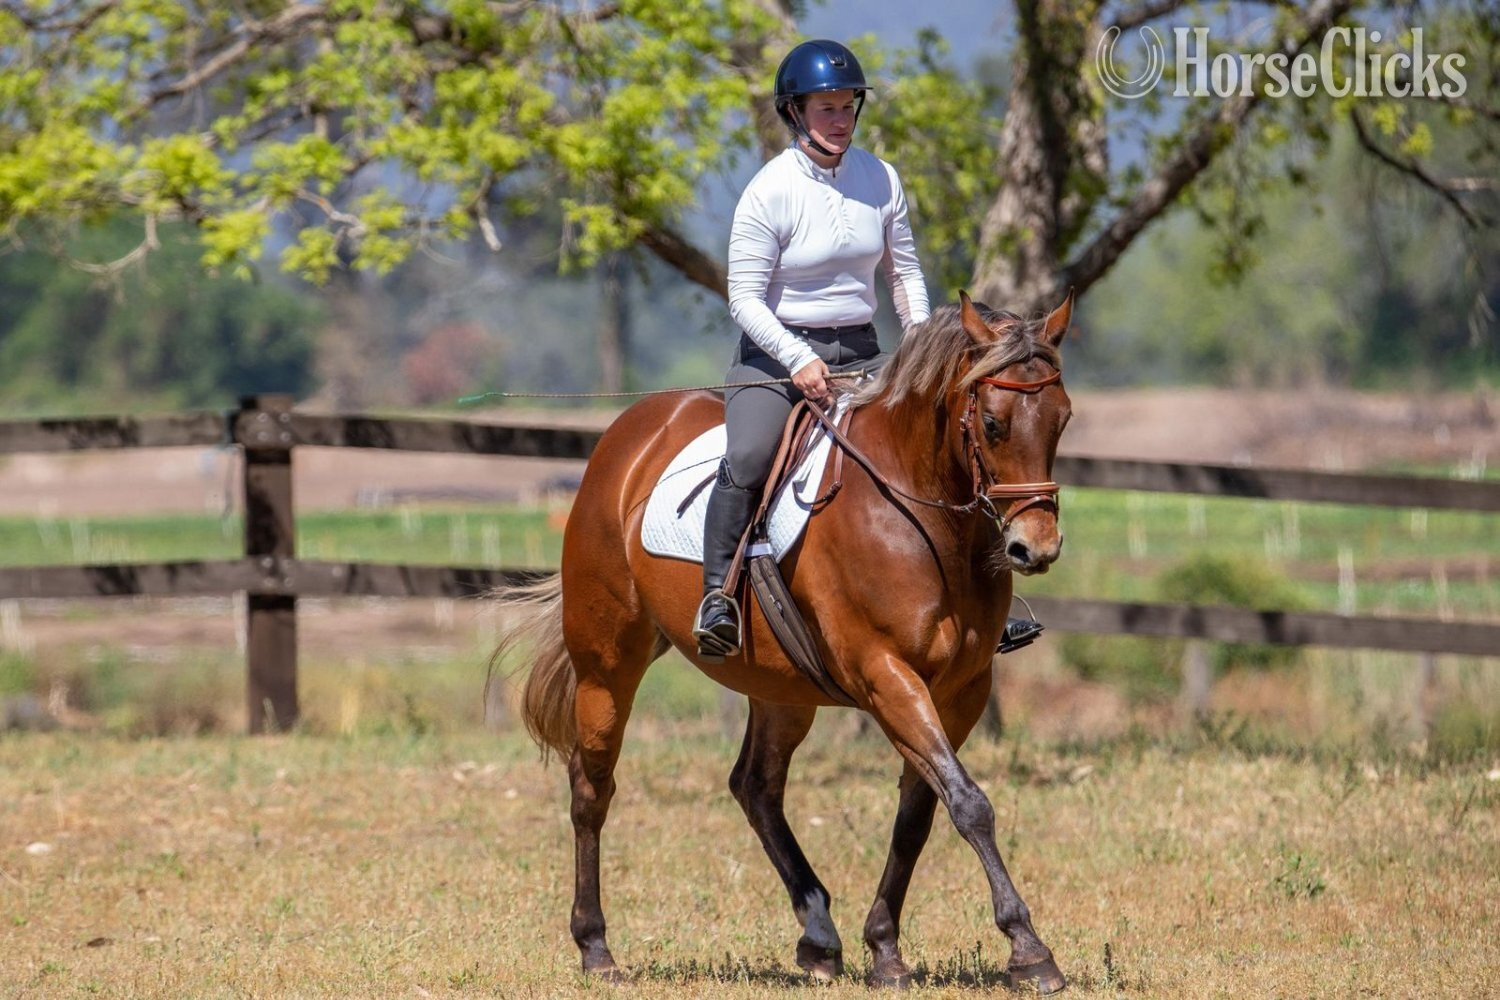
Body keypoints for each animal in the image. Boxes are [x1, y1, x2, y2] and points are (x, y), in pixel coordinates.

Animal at [493, 290, 1073, 993]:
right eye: (991, 422)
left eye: (1062, 419)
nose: (1035, 549)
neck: (921, 518)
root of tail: (631, 429)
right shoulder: (886, 675)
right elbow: (968, 804)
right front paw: (1029, 949)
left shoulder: (962, 691)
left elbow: (921, 812)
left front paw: (884, 947)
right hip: (607, 665)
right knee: (591, 788)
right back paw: (596, 946)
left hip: (780, 688)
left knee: (756, 787)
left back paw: (819, 937)